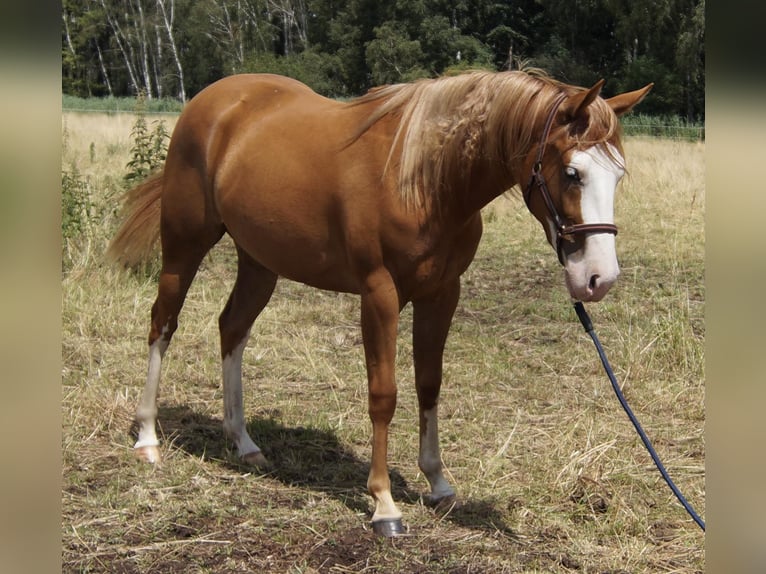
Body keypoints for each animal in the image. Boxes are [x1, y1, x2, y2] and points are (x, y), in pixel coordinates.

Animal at [109, 70, 656, 536]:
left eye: (618, 175)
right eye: (572, 172)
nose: (598, 278)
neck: (424, 180)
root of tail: (213, 100)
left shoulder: (442, 294)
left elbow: (429, 385)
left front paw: (438, 483)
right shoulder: (379, 295)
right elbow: (384, 394)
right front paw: (384, 504)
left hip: (260, 261)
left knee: (232, 328)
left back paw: (243, 443)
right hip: (184, 244)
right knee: (163, 325)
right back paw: (148, 438)